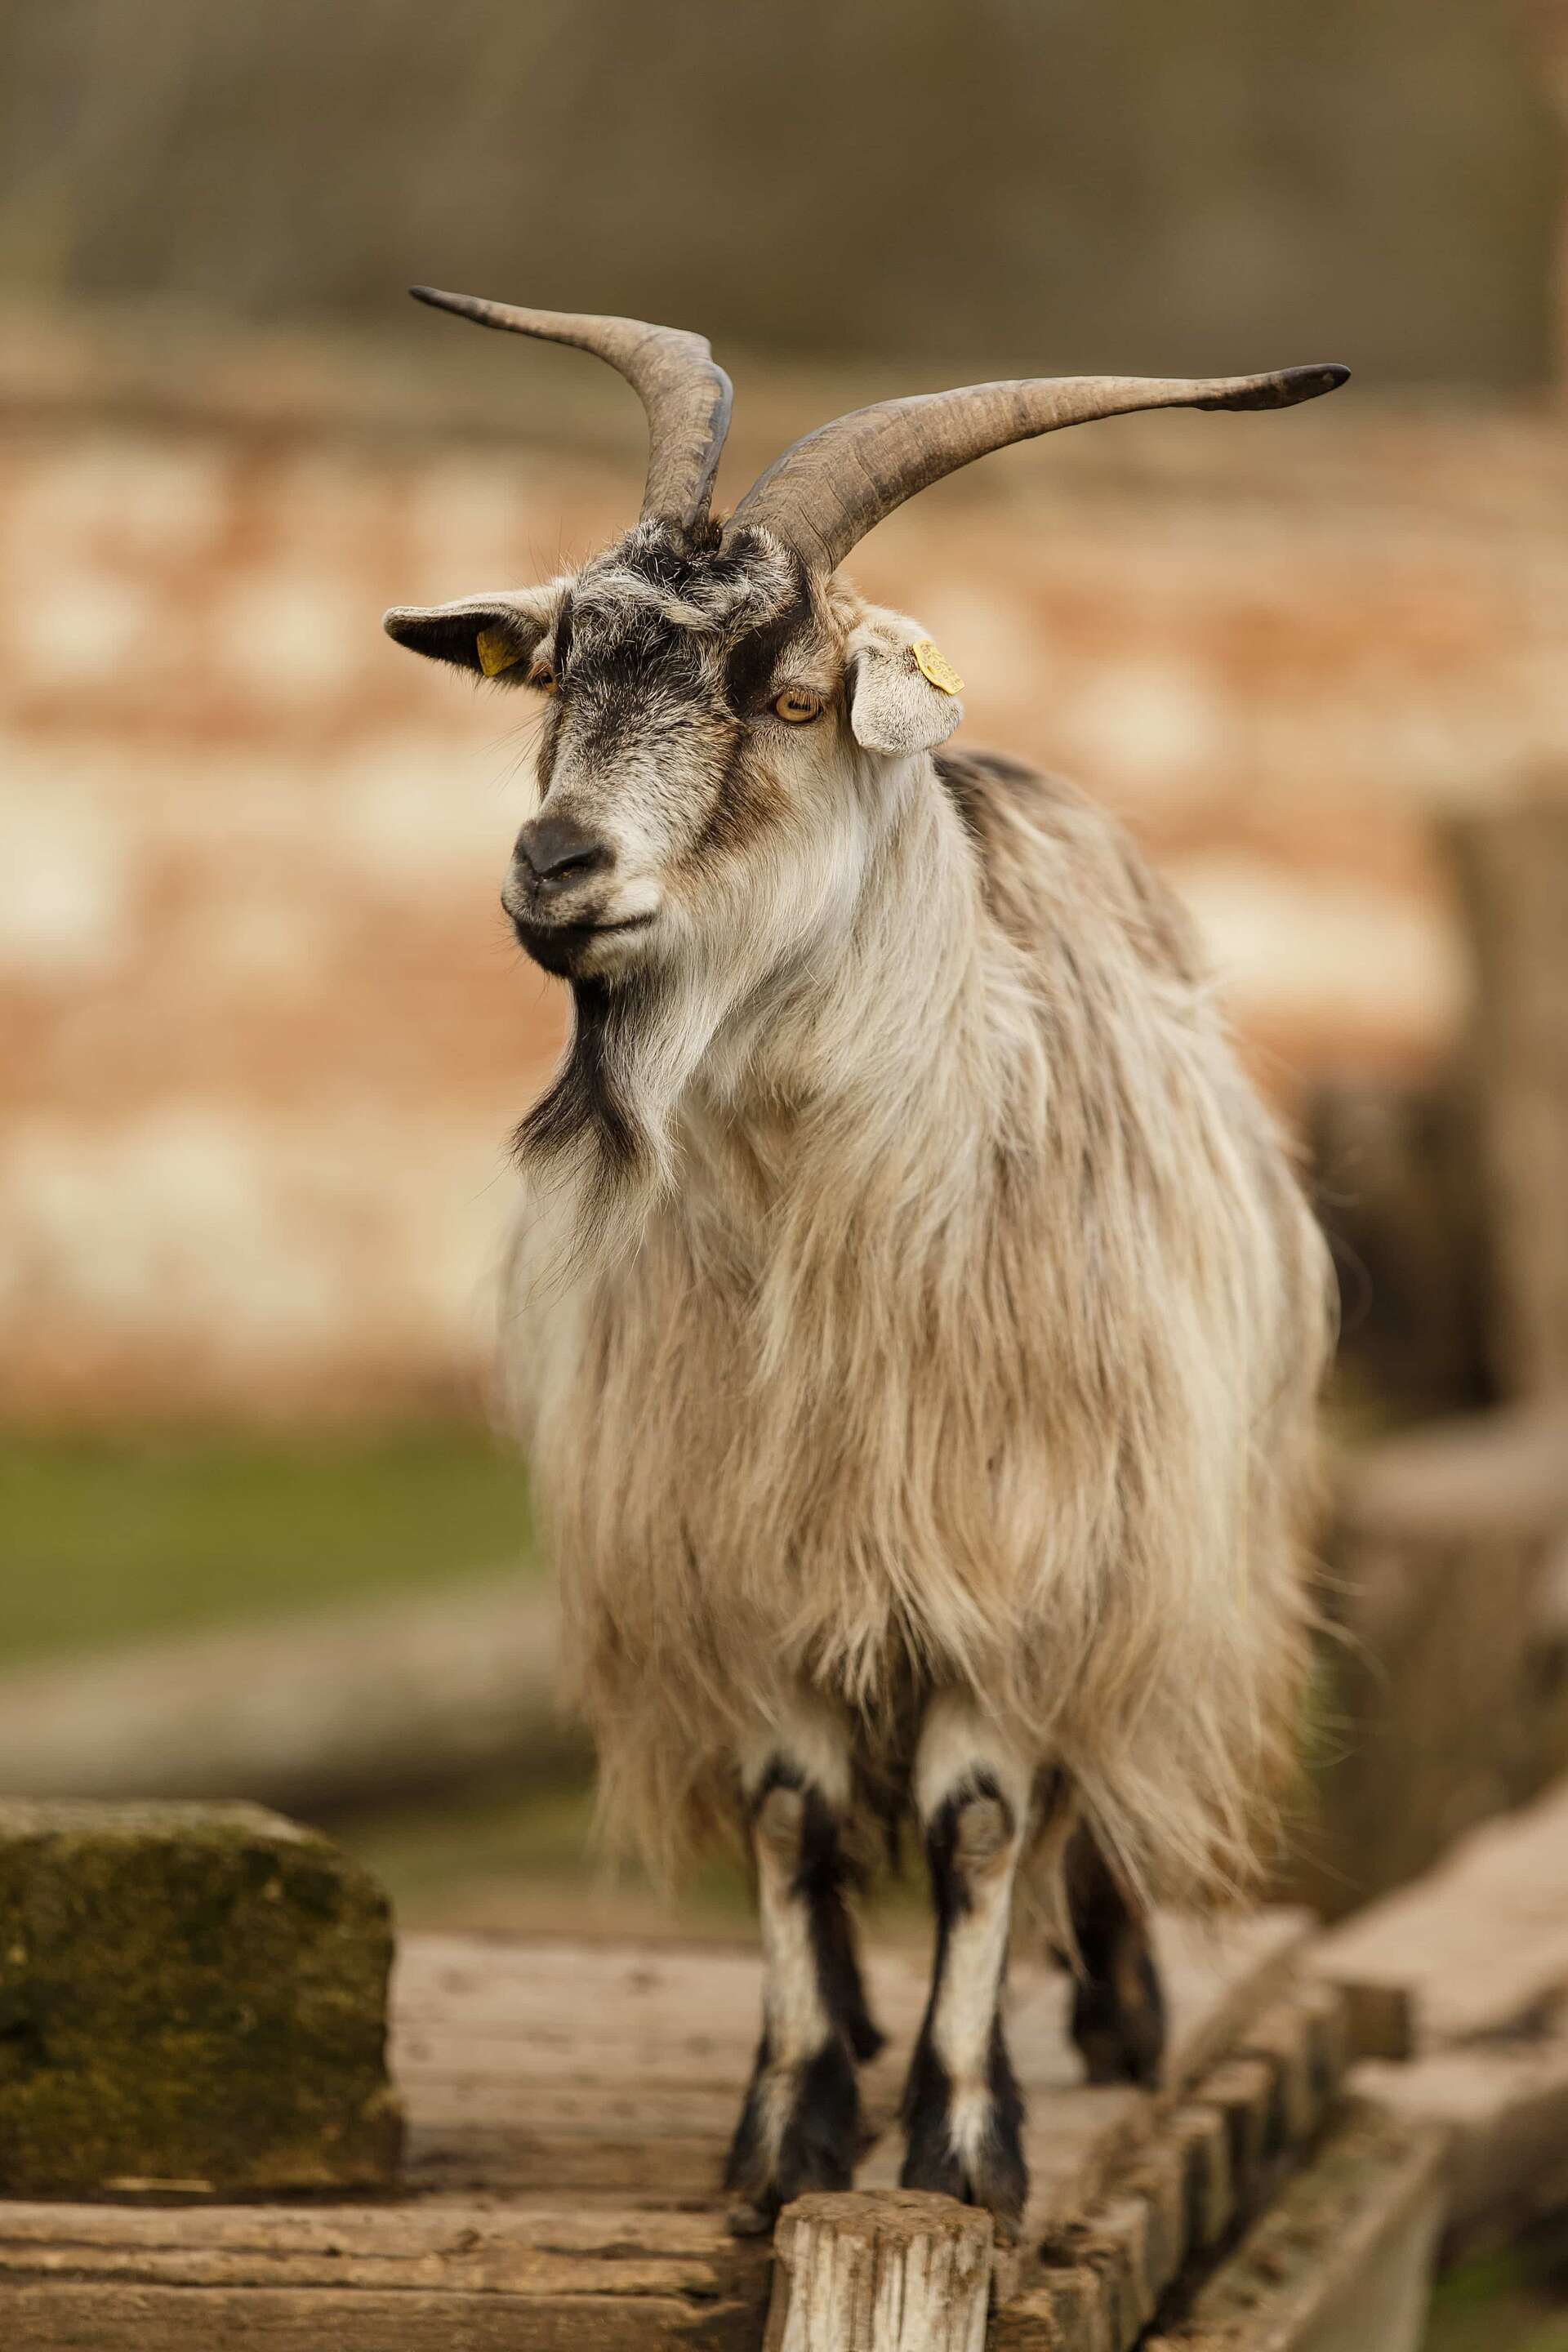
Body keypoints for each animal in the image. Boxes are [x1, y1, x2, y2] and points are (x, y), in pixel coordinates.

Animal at [385, 294, 1344, 2238]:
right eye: (563, 670)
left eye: (791, 693)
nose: (555, 864)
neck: (837, 1240)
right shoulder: (741, 1556)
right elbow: (788, 1817)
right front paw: (789, 2130)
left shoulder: (1025, 1554)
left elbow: (984, 1825)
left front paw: (962, 2150)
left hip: (1159, 1551)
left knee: (1083, 1814)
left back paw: (1120, 2018)